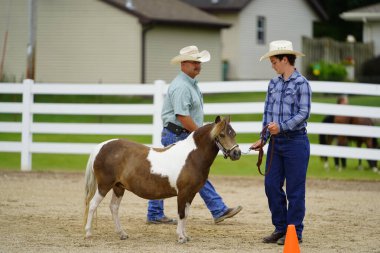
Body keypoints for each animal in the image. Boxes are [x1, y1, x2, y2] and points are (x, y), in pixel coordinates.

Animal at [84, 116, 242, 243]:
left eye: (234, 133)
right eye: (221, 134)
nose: (237, 153)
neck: (191, 157)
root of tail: (100, 147)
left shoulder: (191, 194)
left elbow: (186, 214)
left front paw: (186, 236)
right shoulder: (183, 193)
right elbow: (181, 214)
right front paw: (181, 237)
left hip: (118, 187)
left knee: (114, 208)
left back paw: (122, 234)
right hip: (104, 185)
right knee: (92, 205)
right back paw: (88, 233)